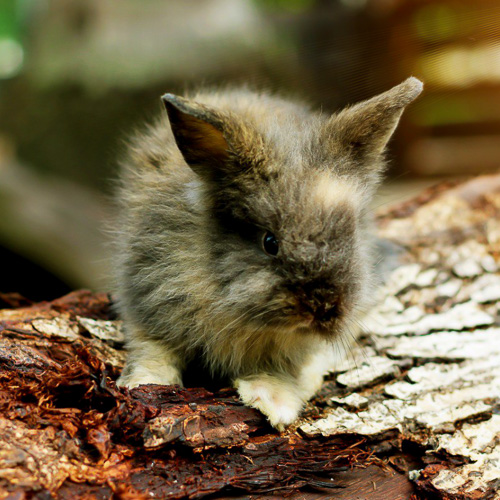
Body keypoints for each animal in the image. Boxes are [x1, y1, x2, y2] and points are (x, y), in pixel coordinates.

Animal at [116, 78, 422, 430]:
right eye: (269, 242)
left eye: (351, 233)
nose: (324, 308)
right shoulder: (148, 297)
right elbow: (153, 348)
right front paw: (142, 382)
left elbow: (281, 370)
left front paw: (272, 403)